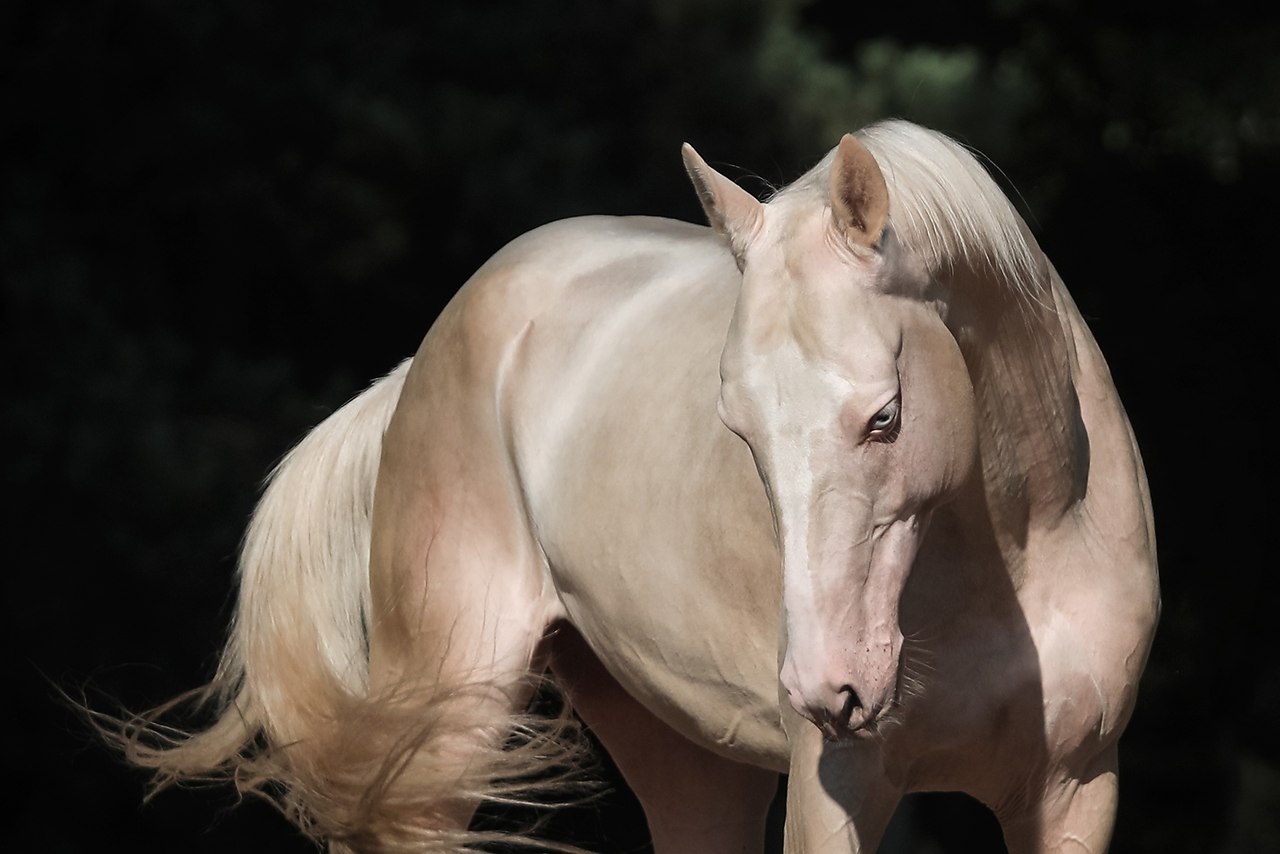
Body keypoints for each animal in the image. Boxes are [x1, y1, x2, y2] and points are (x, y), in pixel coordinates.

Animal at [110, 121, 1162, 854]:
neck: (1013, 558)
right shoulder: (839, 795)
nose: (827, 688)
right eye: (739, 429)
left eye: (886, 416)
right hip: (441, 735)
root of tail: (421, 361)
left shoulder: (1074, 792)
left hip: (689, 760)